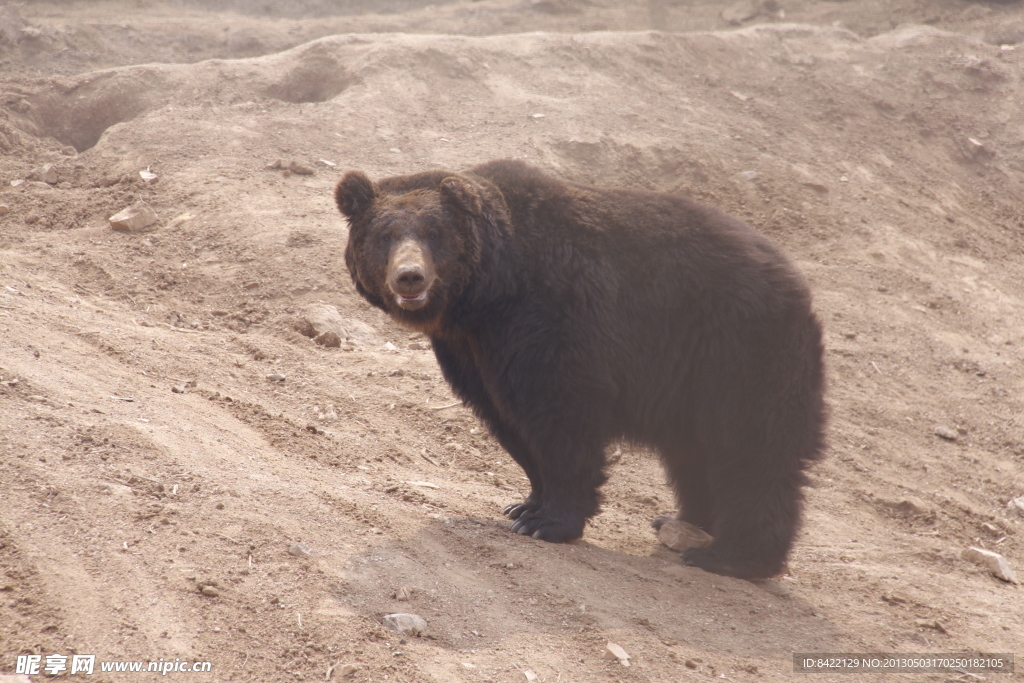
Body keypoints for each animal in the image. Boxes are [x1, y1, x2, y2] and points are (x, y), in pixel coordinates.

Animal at [333, 161, 823, 581]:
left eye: (434, 232)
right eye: (384, 235)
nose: (410, 277)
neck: (487, 296)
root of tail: (798, 285)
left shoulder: (555, 317)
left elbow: (561, 416)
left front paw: (548, 522)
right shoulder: (474, 353)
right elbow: (507, 417)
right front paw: (525, 506)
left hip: (736, 354)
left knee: (751, 450)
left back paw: (732, 555)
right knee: (694, 453)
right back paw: (682, 520)